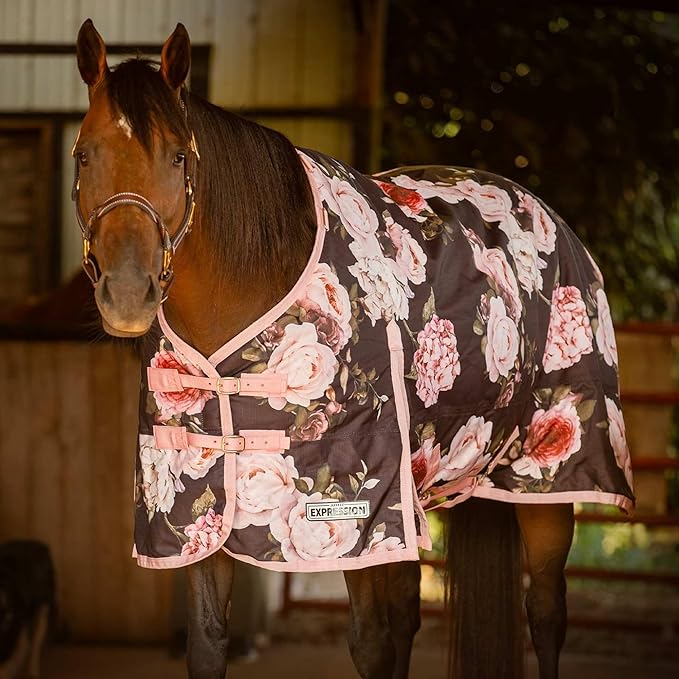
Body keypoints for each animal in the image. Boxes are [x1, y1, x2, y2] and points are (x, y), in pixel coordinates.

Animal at [71, 19, 634, 679]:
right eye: (84, 154)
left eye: (178, 155)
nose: (127, 294)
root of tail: (542, 211)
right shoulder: (195, 517)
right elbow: (209, 643)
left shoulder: (356, 516)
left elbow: (370, 643)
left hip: (544, 484)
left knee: (544, 614)